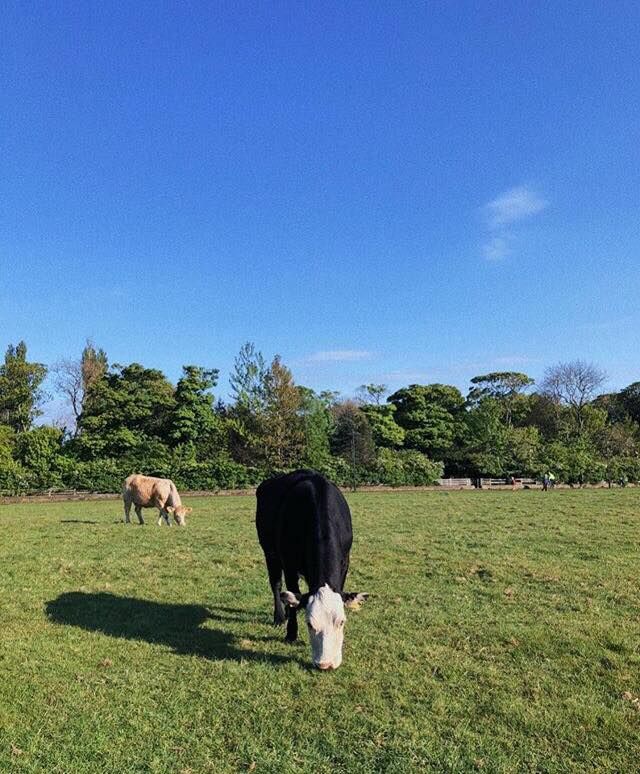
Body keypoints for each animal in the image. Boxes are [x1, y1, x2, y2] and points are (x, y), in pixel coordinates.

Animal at [256, 469, 367, 670]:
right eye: (309, 624)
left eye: (342, 622)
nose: (326, 664)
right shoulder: (289, 564)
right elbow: (290, 591)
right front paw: (291, 633)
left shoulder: (345, 562)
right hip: (269, 552)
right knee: (276, 584)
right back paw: (280, 616)